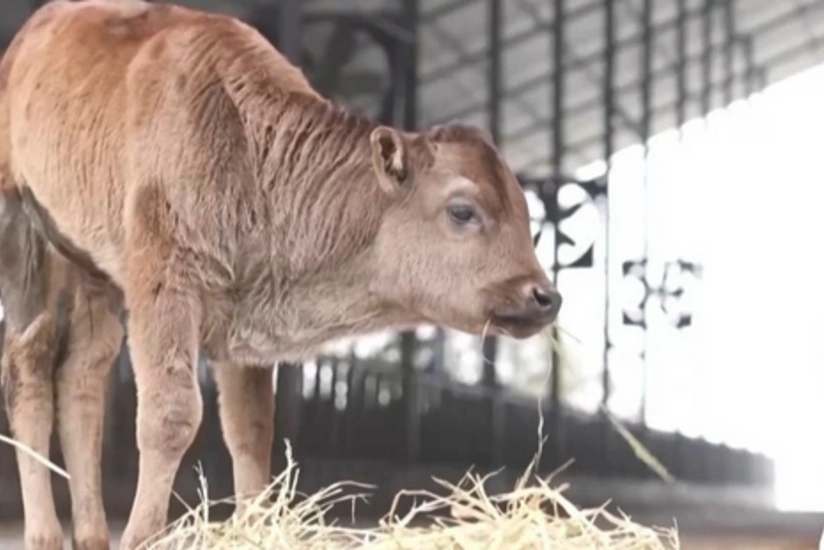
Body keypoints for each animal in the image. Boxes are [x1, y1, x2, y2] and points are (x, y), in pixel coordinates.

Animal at [0, 1, 561, 548]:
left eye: (525, 209)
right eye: (463, 210)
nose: (543, 296)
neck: (250, 147)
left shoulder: (243, 325)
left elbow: (250, 431)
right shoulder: (166, 291)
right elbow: (170, 415)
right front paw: (142, 536)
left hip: (92, 271)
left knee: (82, 378)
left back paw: (92, 534)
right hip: (26, 241)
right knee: (30, 368)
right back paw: (45, 534)